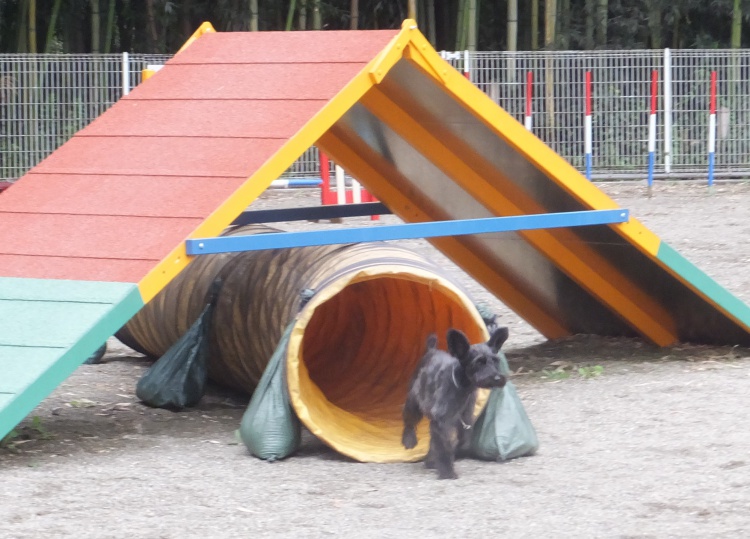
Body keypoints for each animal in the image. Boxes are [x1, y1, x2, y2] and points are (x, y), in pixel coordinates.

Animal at [401, 326, 509, 479]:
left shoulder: (464, 419)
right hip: (414, 402)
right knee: (409, 420)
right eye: (478, 362)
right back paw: (409, 440)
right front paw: (447, 472)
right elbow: (444, 447)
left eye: (495, 360)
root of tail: (431, 351)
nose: (497, 378)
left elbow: (463, 441)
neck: (462, 387)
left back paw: (430, 460)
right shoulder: (441, 421)